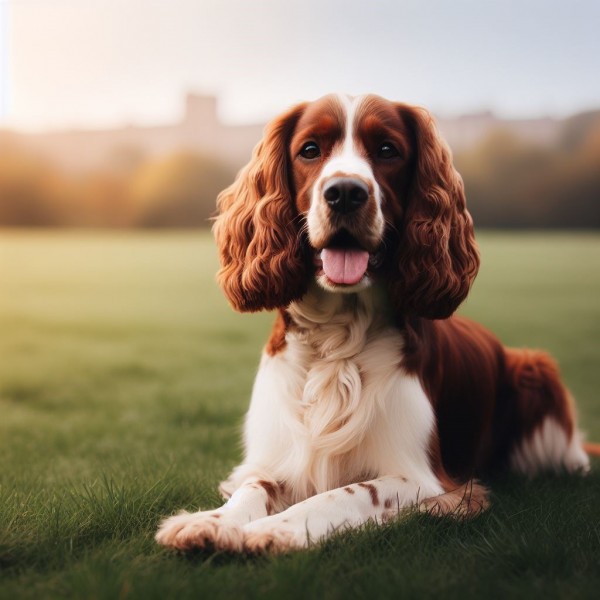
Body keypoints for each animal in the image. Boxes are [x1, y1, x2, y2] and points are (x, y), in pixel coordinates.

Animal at [155, 92, 592, 552]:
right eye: (310, 149)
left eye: (387, 150)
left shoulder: (424, 479)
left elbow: (343, 493)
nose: (346, 192)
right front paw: (212, 521)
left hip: (536, 372)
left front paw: (276, 528)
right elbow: (252, 487)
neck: (338, 334)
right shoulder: (276, 458)